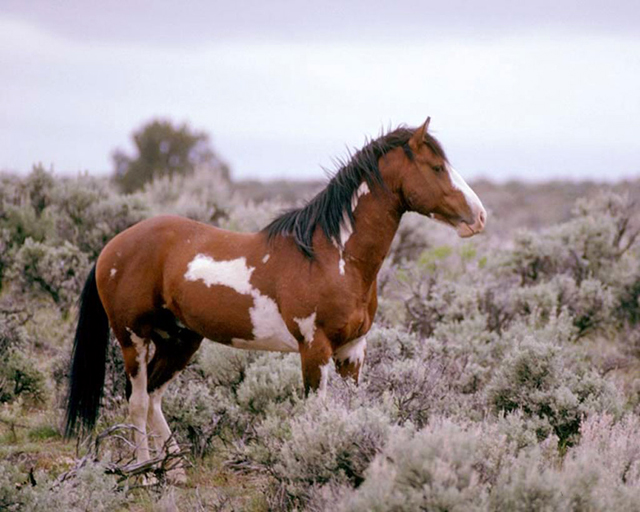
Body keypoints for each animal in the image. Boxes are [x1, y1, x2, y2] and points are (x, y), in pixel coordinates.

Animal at [63, 117, 484, 480]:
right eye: (436, 167)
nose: (479, 216)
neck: (333, 256)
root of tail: (113, 246)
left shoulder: (353, 350)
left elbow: (351, 412)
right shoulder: (314, 349)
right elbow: (316, 415)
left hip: (180, 340)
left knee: (152, 397)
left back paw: (176, 471)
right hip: (132, 338)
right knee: (136, 400)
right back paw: (146, 473)